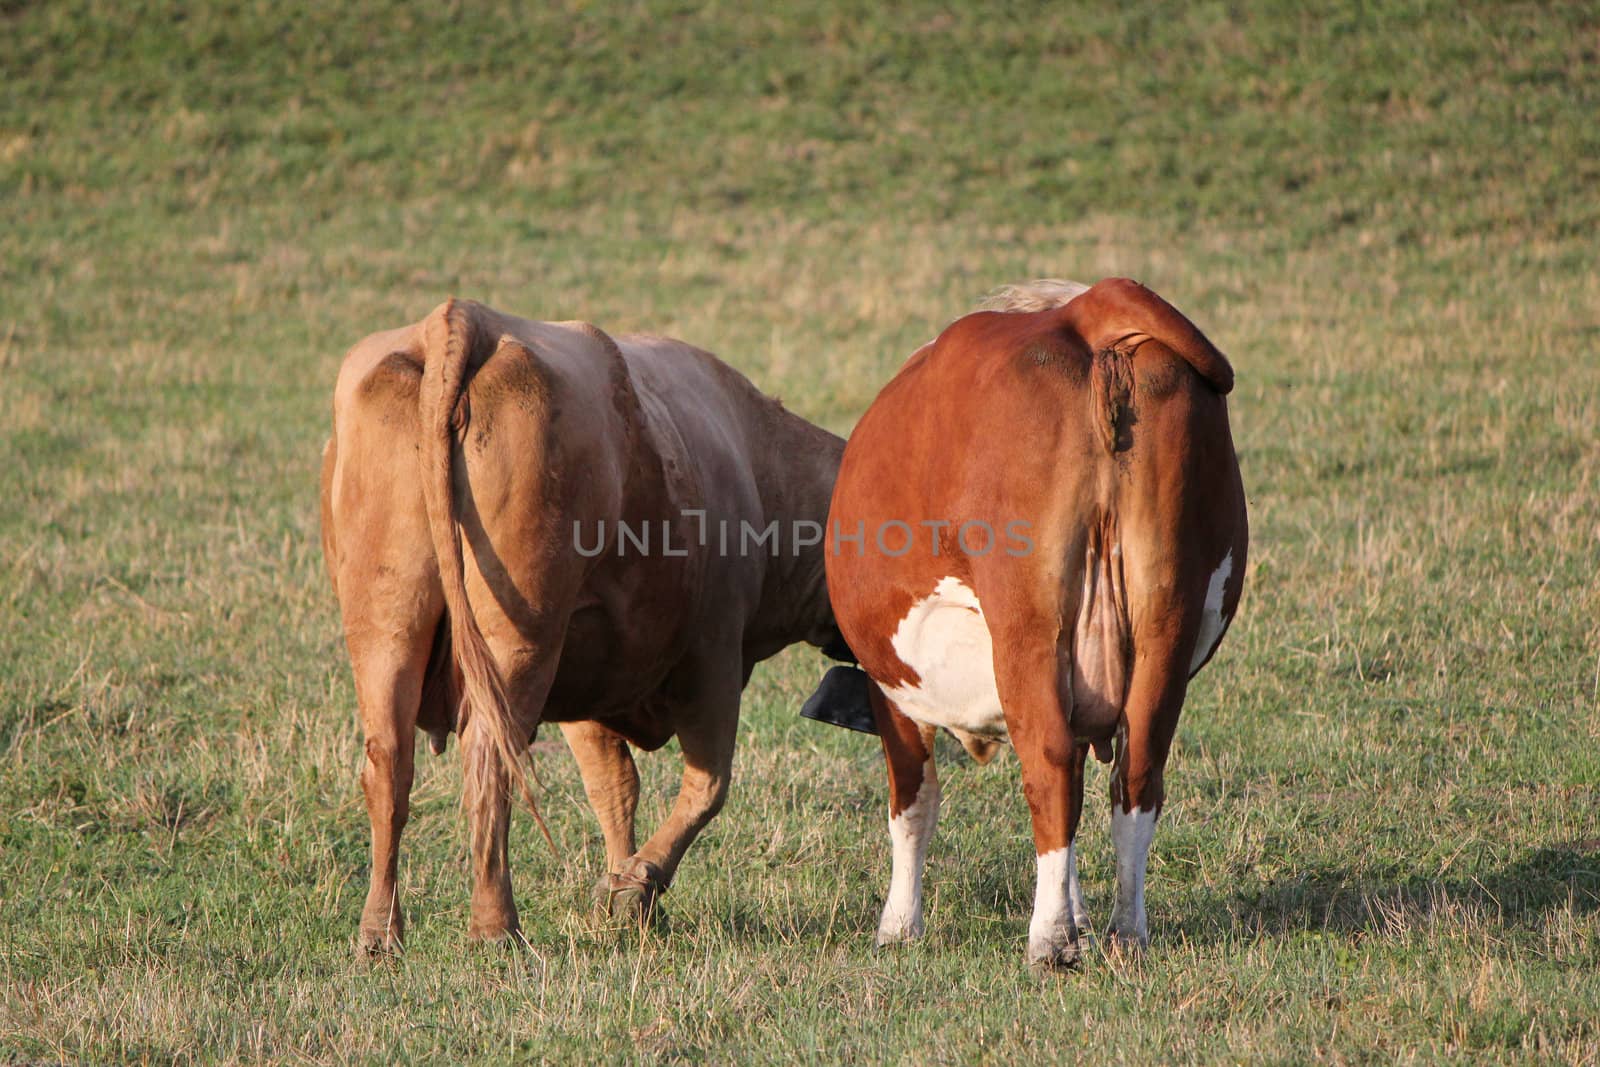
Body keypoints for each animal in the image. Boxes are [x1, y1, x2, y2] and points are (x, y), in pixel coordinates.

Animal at [323, 299, 851, 953]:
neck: (757, 463)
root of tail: (464, 317)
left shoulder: (587, 674)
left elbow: (614, 787)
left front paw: (629, 898)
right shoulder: (714, 654)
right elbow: (707, 786)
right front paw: (634, 886)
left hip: (387, 626)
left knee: (390, 764)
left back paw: (380, 933)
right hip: (519, 643)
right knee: (490, 760)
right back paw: (496, 929)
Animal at [825, 279, 1248, 972]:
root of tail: (1087, 305)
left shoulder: (893, 690)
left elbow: (913, 804)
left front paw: (898, 926)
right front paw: (1080, 915)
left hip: (1030, 629)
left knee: (1049, 768)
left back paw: (1048, 941)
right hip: (1167, 623)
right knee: (1136, 775)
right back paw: (1125, 933)